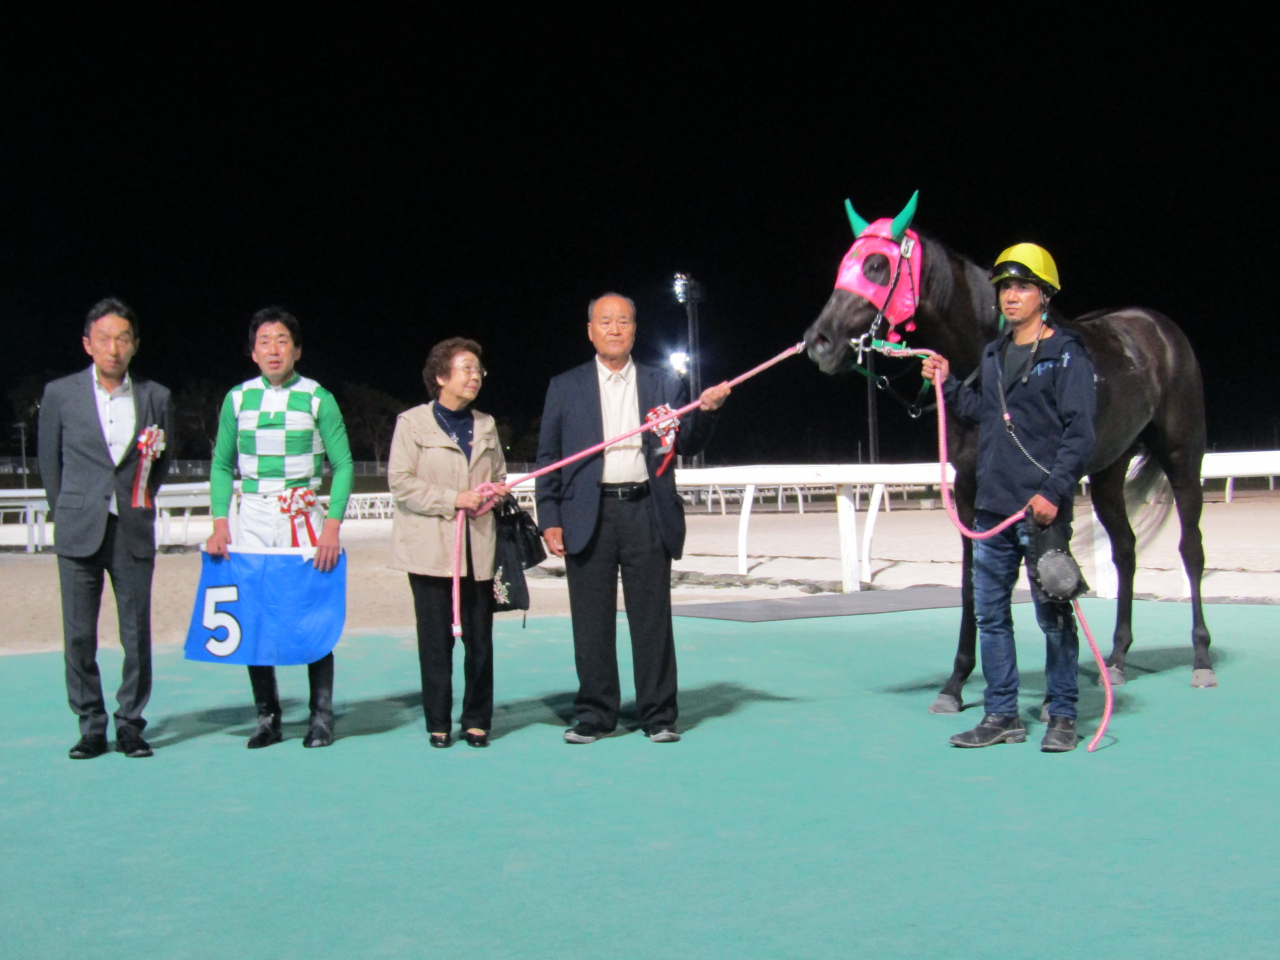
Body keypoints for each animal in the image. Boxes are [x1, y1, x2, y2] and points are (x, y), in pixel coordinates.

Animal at [803, 195, 1213, 711]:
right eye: (845, 264)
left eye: (876, 265)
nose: (818, 341)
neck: (983, 364)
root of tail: (1156, 328)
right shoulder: (969, 488)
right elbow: (972, 581)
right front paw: (956, 682)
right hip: (1107, 470)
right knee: (1125, 549)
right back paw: (1118, 658)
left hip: (1183, 457)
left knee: (1191, 549)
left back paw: (1201, 657)